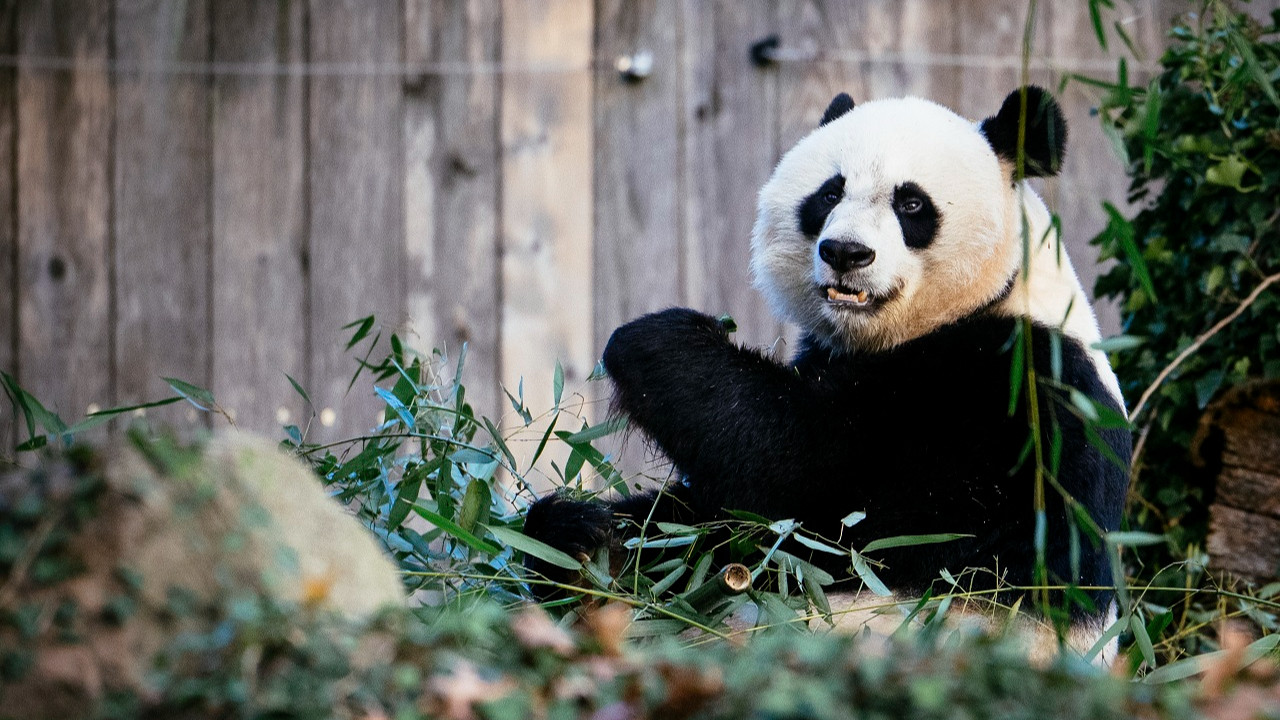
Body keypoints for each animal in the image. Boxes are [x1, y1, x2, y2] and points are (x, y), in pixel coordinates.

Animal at [519, 88, 1131, 661]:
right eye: (829, 194)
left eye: (911, 203)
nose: (845, 252)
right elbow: (704, 526)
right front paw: (582, 533)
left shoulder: (1010, 394)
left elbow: (810, 487)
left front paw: (656, 339)